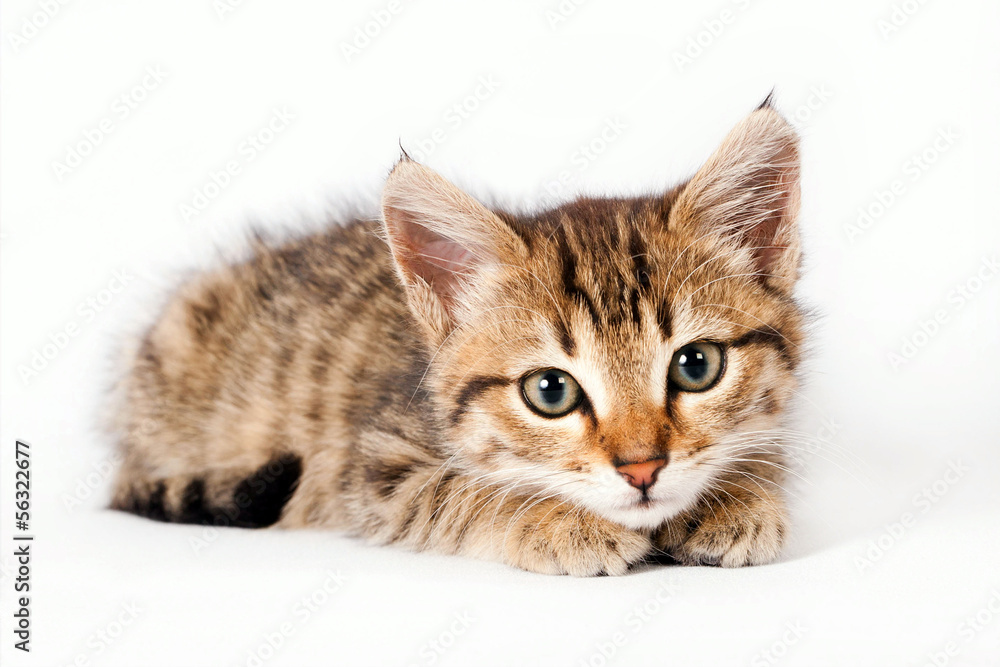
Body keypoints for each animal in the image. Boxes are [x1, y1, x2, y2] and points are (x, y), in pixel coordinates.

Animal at [107, 98, 804, 576]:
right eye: (550, 392)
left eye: (696, 365)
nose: (642, 469)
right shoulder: (373, 469)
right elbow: (465, 492)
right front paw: (557, 522)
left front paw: (739, 498)